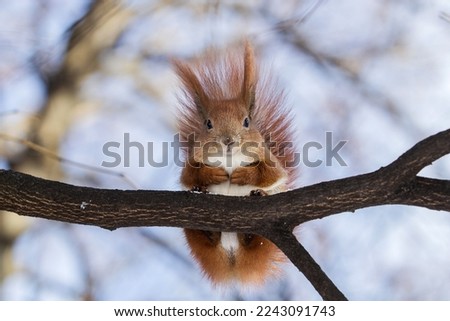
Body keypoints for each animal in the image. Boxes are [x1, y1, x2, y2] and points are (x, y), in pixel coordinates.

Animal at [174, 42, 298, 284]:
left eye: (247, 121)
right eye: (208, 124)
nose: (228, 140)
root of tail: (233, 261)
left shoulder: (269, 159)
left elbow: (273, 175)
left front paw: (245, 176)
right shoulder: (191, 161)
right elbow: (188, 176)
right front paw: (211, 175)